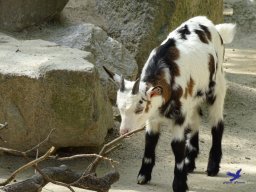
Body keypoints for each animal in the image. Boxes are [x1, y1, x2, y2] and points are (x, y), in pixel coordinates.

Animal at [103, 15, 236, 191]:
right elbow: (150, 141)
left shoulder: (179, 115)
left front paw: (179, 184)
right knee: (195, 121)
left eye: (139, 108)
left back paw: (212, 167)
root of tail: (210, 24)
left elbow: (177, 145)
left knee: (217, 125)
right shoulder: (153, 116)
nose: (124, 131)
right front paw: (143, 176)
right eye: (119, 108)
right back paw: (190, 163)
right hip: (193, 98)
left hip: (217, 88)